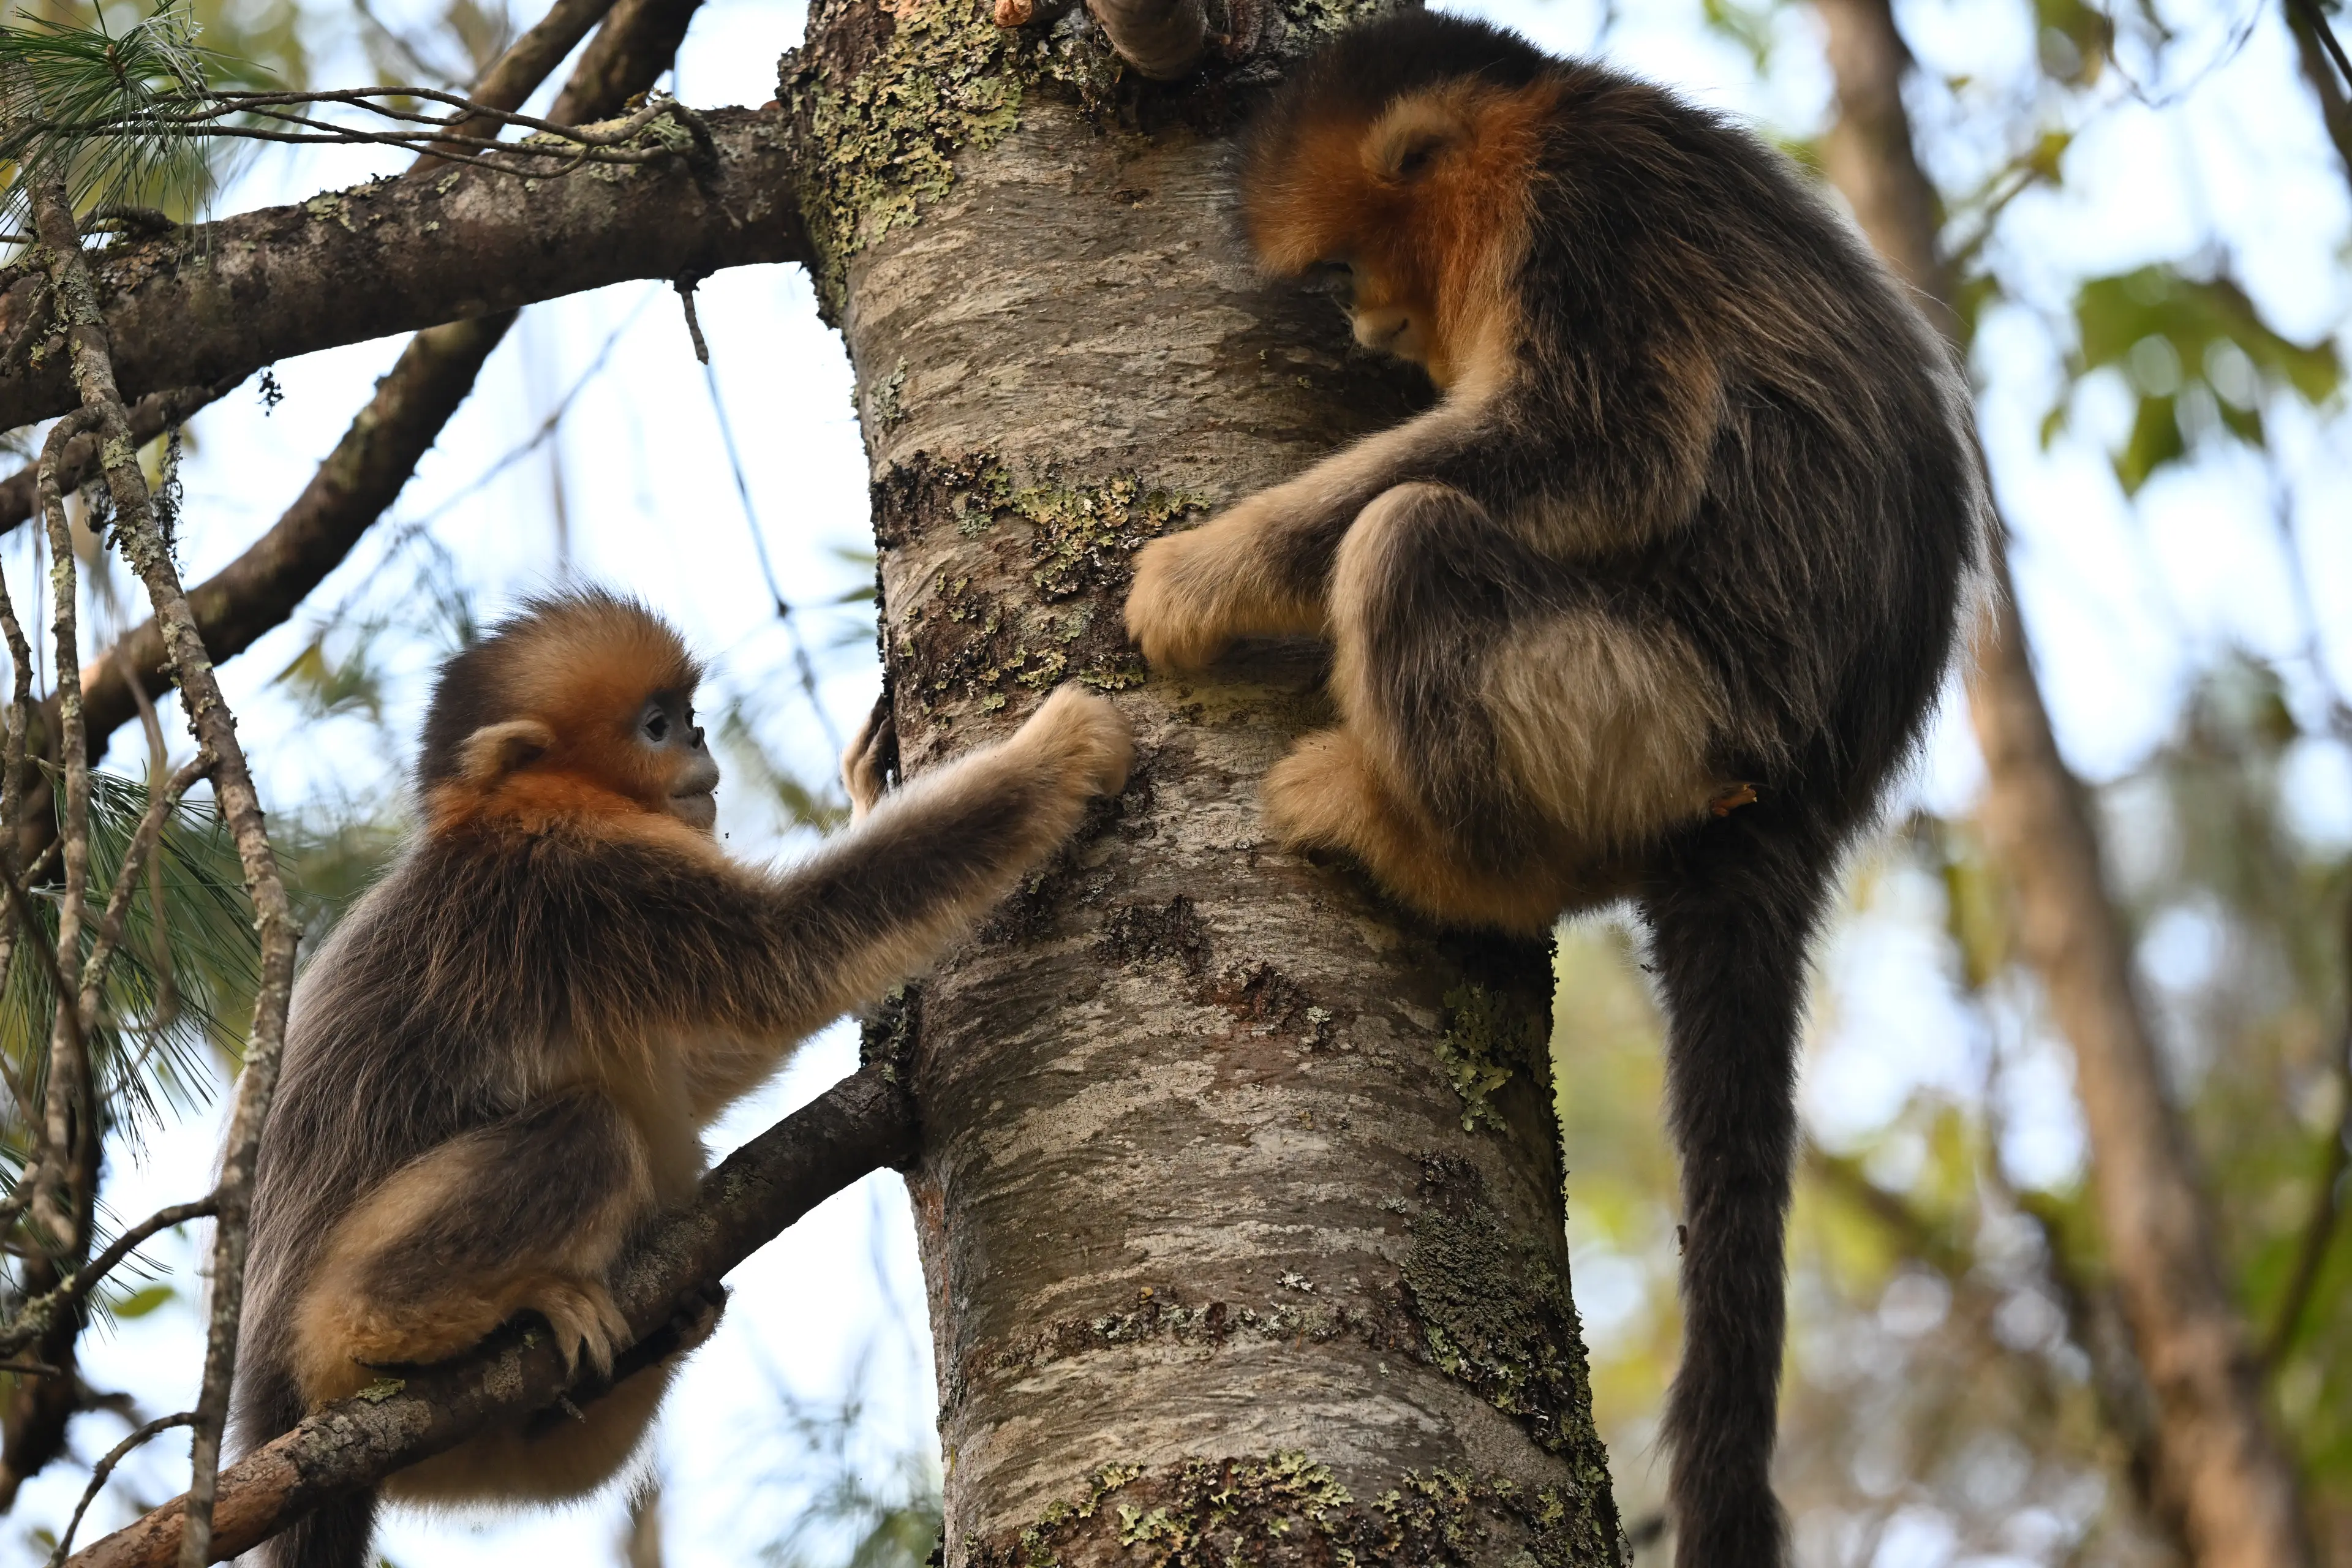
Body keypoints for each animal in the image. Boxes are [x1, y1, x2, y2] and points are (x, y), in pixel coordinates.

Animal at [233, 590, 1132, 1568]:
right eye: (657, 727)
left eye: (685, 714)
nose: (700, 738)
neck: (509, 812)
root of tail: (273, 1401)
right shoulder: (586, 877)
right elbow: (790, 955)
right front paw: (1062, 748)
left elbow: (707, 1059)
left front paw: (867, 790)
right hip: (329, 1314)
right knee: (586, 1128)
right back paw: (392, 1319)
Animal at [1122, 13, 1986, 1565]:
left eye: (1347, 271)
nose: (1370, 333)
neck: (1536, 121)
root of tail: (1799, 807)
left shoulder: (1585, 217)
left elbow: (1597, 440)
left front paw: (1209, 571)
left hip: (1649, 710)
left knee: (1412, 536)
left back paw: (1427, 847)